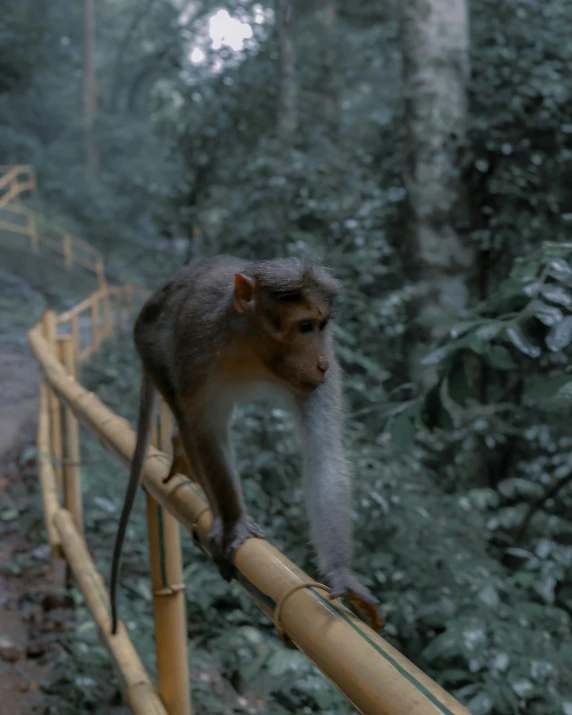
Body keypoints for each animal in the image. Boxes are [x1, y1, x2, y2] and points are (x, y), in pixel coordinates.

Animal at [109, 256, 382, 632]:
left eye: (322, 325)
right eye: (305, 325)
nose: (321, 363)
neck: (255, 351)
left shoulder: (321, 374)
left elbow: (324, 453)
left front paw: (342, 572)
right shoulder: (195, 343)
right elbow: (206, 431)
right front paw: (233, 520)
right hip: (147, 344)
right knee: (186, 418)